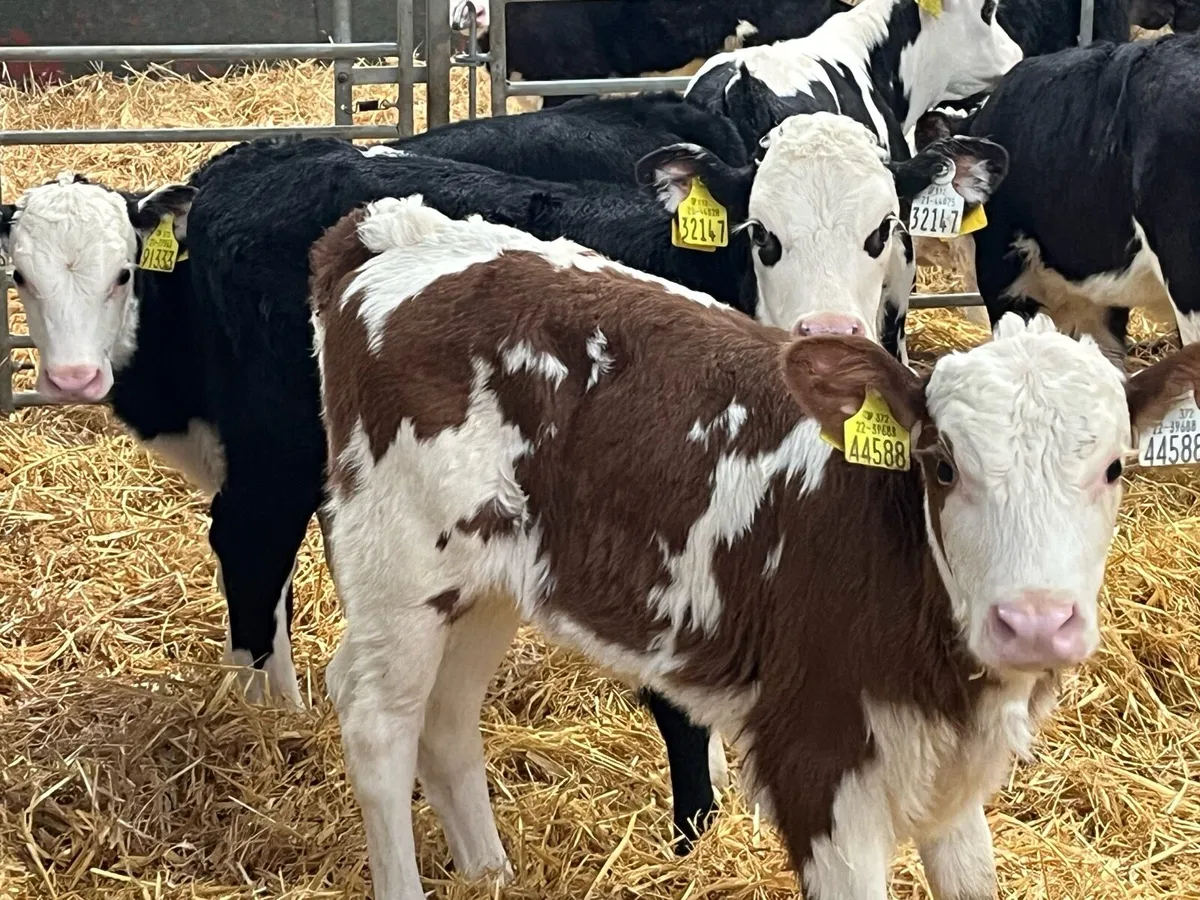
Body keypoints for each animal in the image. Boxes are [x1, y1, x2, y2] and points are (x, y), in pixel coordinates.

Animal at [310, 193, 1200, 900]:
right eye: (943, 466)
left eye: (1114, 466)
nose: (1037, 622)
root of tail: (396, 233)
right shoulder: (817, 764)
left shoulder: (948, 783)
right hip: (399, 568)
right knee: (377, 718)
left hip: (485, 579)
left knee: (447, 717)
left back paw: (491, 875)